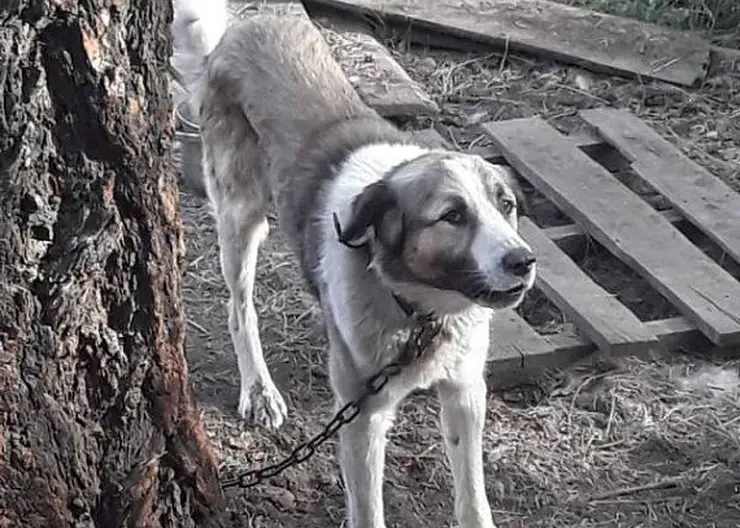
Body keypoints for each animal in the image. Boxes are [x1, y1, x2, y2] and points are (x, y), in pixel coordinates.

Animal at [171, 2, 536, 524]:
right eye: (452, 216)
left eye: (506, 205)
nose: (524, 261)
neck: (421, 311)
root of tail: (235, 35)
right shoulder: (363, 415)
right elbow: (368, 508)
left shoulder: (466, 392)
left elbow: (472, 495)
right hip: (241, 216)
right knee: (239, 309)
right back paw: (259, 390)